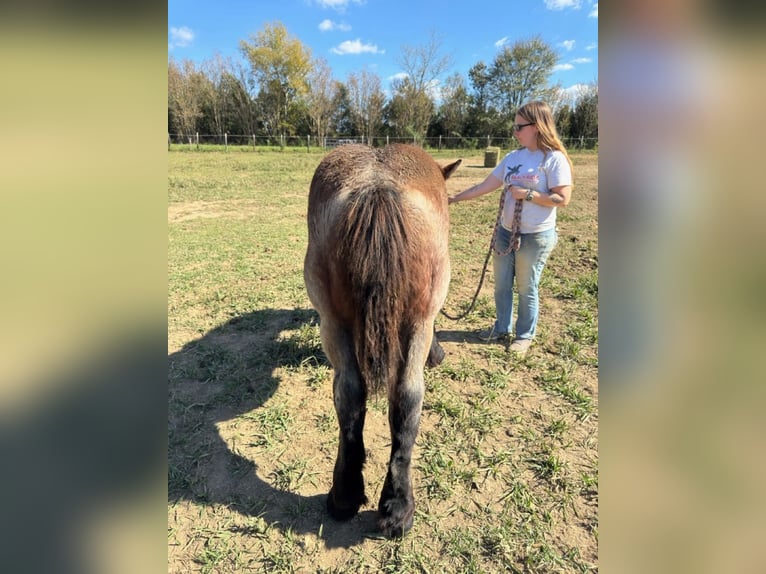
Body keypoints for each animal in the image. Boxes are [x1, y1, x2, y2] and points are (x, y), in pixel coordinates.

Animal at [304, 144, 462, 540]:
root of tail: (376, 187)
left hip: (332, 321)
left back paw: (349, 495)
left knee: (350, 394)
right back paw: (398, 507)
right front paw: (438, 353)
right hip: (416, 319)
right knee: (408, 396)